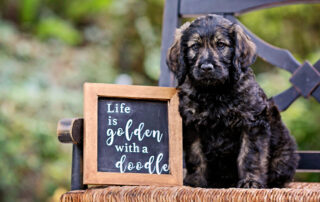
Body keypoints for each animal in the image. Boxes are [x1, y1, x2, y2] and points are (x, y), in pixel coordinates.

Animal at [166, 14, 298, 189]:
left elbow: (250, 155)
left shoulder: (252, 124)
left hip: (283, 156)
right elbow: (195, 155)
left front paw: (250, 181)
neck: (214, 93)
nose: (206, 67)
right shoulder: (192, 125)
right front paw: (196, 181)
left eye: (221, 45)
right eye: (195, 46)